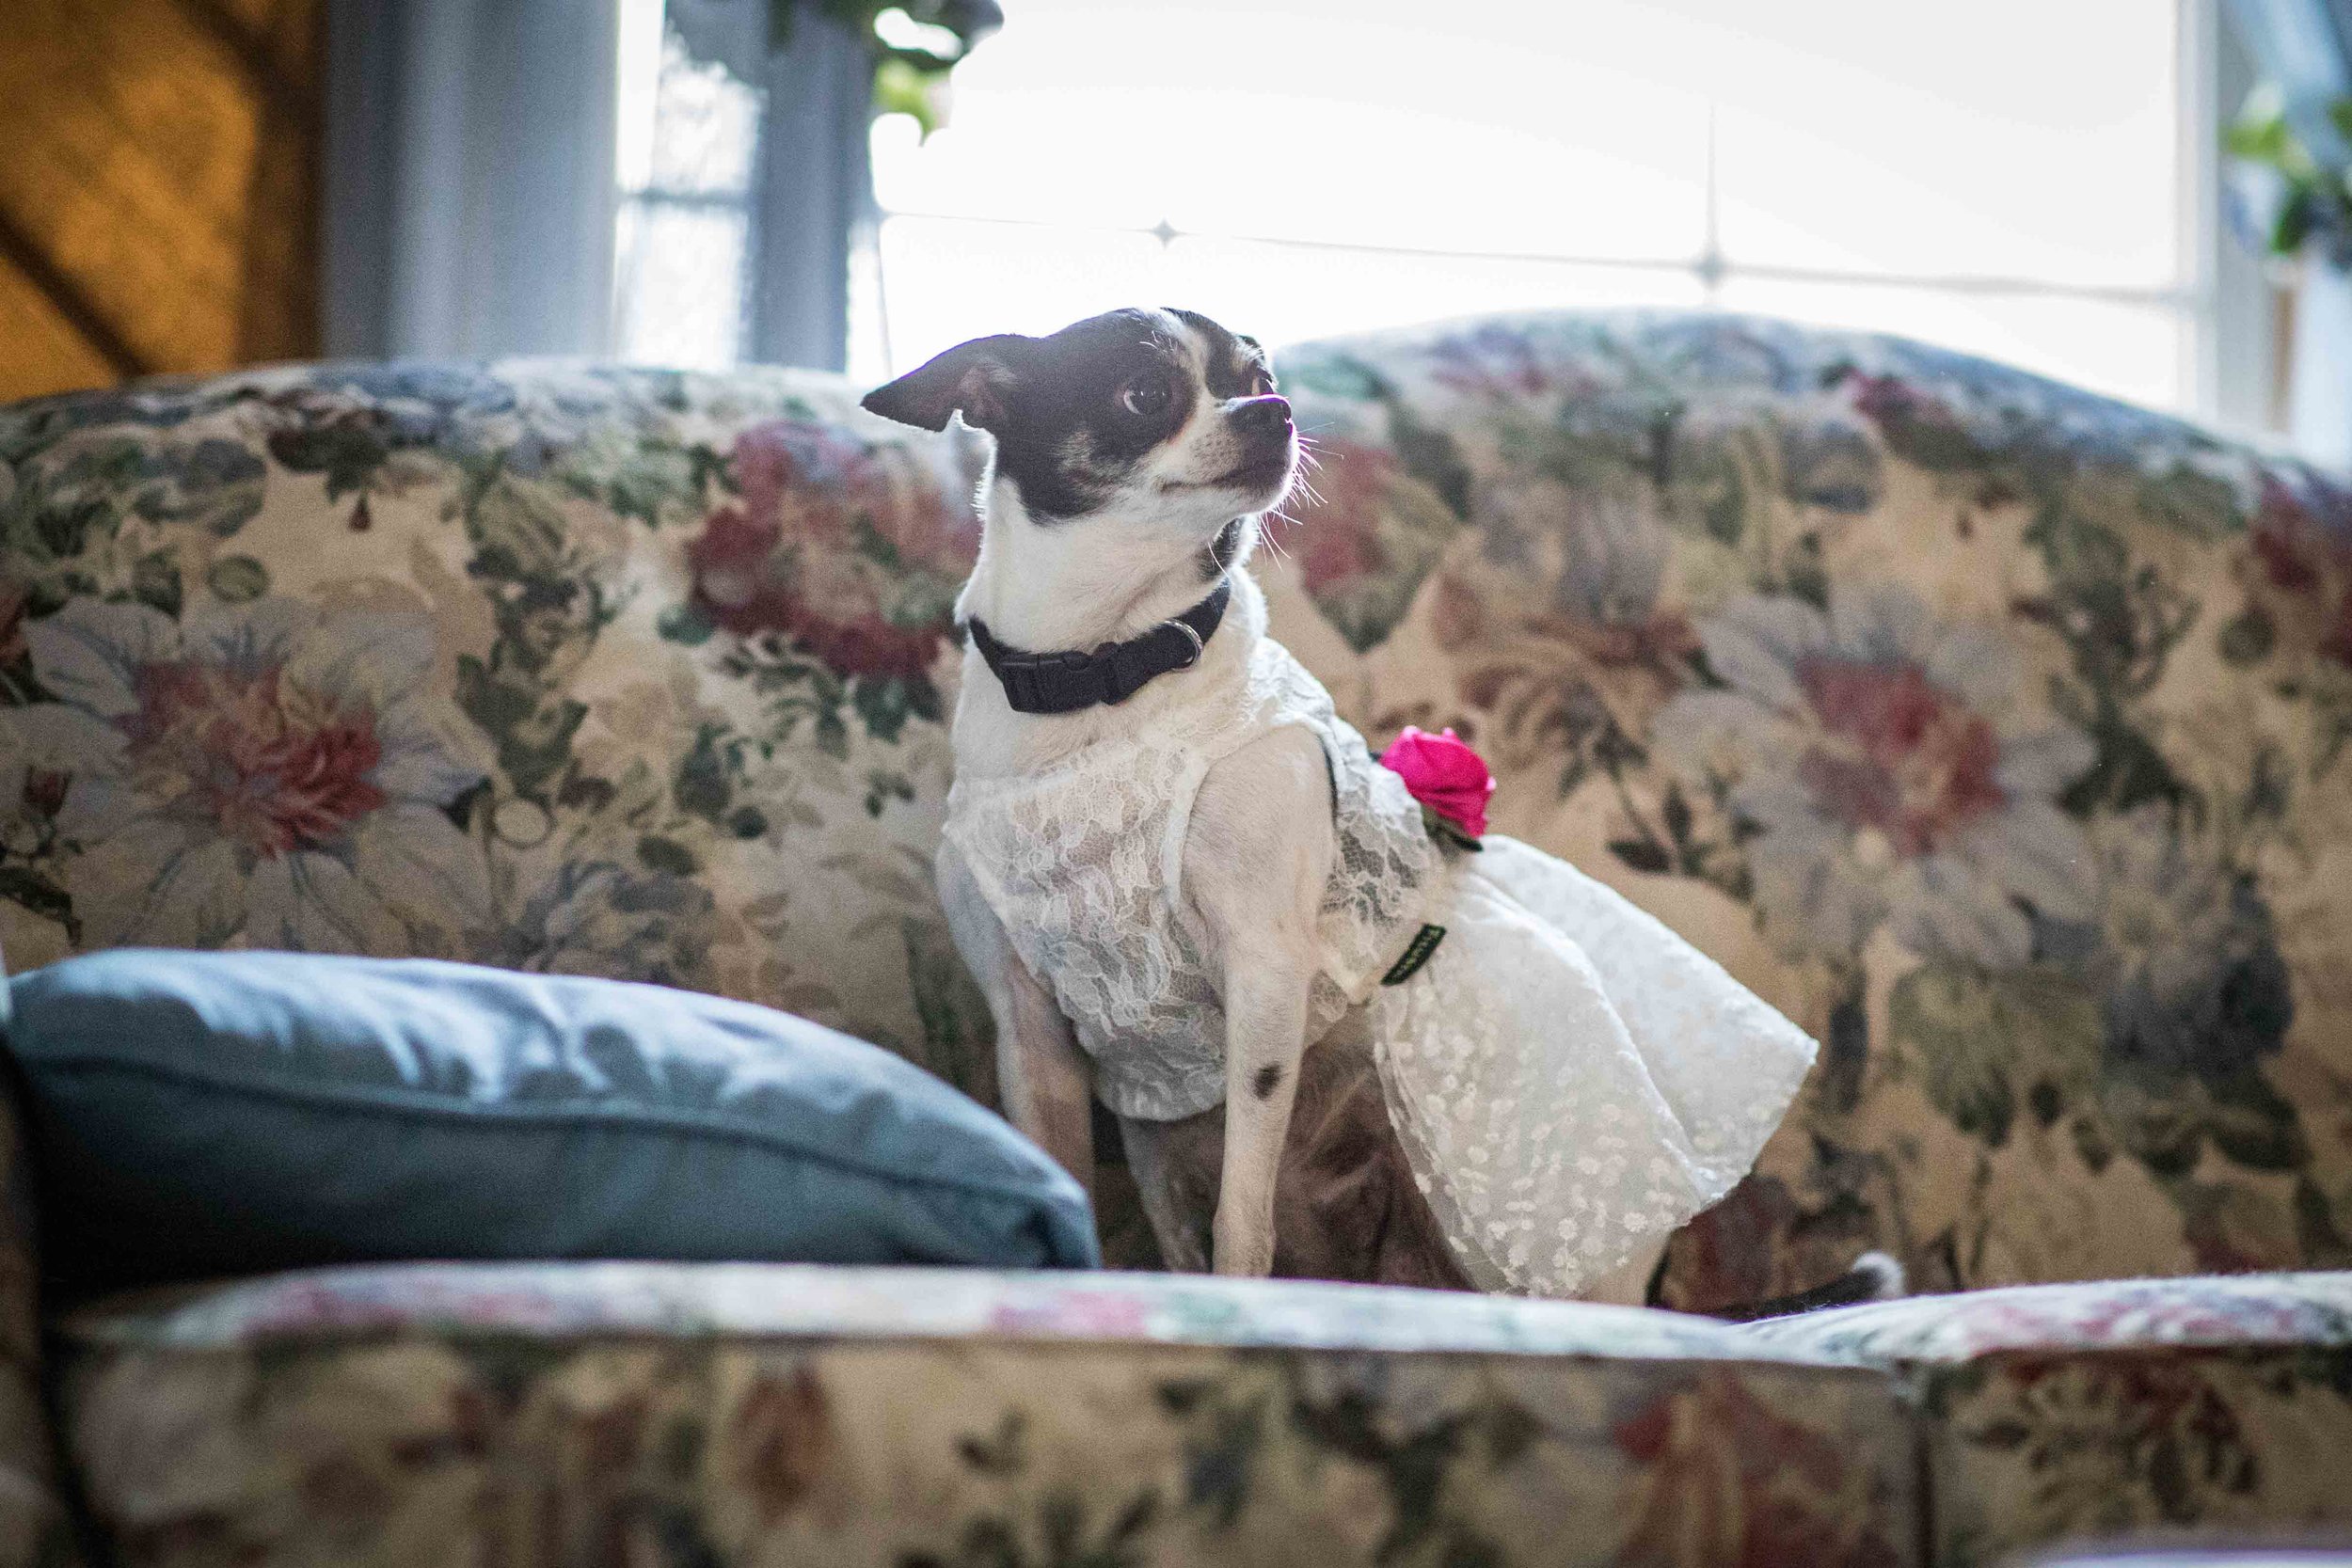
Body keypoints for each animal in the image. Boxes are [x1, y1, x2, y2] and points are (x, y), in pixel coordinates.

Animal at [875, 303, 1900, 1316]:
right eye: (1145, 392)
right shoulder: (1028, 1031)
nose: (1276, 411)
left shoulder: (1263, 975)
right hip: (1165, 1149)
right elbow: (1060, 1172)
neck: (1101, 677)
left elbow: (1240, 1220)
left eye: (1258, 376)